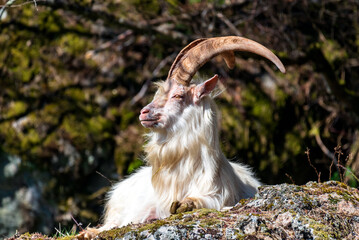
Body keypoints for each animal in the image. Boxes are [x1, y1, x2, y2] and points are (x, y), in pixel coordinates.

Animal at [80, 36, 286, 238]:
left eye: (178, 96)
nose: (143, 112)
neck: (185, 175)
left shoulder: (218, 196)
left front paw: (184, 204)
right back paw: (87, 232)